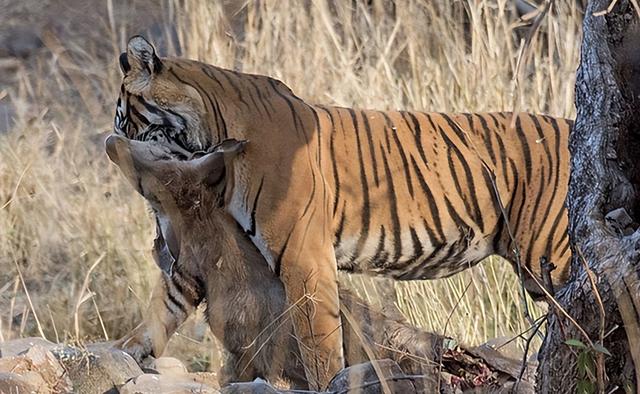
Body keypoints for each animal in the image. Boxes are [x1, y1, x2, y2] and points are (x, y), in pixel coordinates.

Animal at [115, 36, 576, 388]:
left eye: (125, 121)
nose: (113, 143)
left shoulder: (304, 259)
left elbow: (318, 341)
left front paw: (328, 383)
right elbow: (163, 306)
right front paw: (126, 355)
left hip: (551, 260)